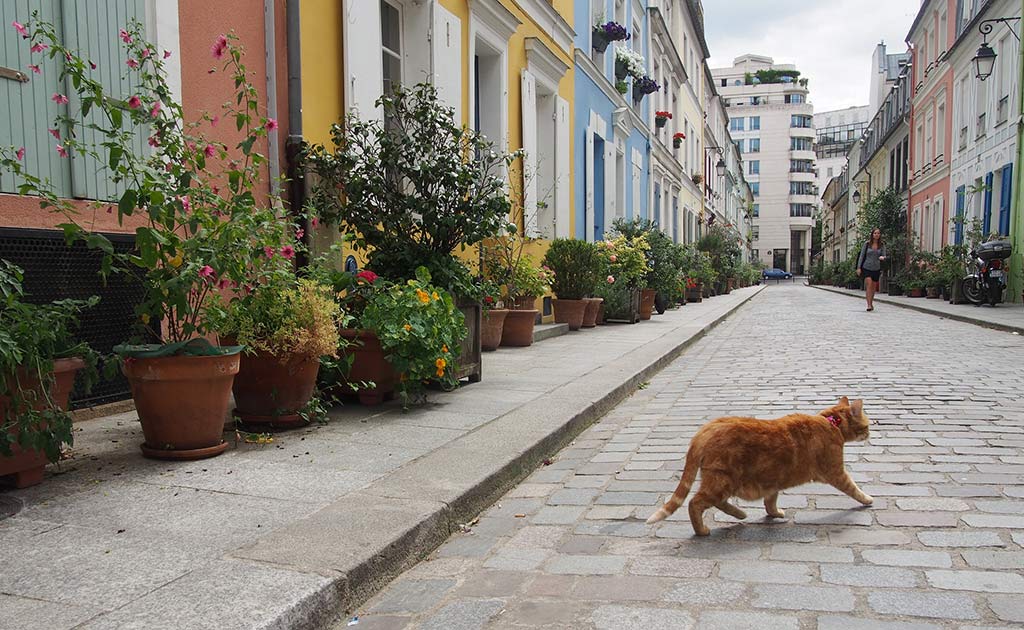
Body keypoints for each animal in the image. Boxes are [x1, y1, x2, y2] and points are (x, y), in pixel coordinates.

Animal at [647, 397, 872, 536]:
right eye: (868, 425)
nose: (870, 433)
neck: (831, 422)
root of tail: (704, 430)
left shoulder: (773, 480)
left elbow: (770, 501)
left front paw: (774, 514)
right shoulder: (836, 472)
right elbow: (854, 488)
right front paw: (867, 499)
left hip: (723, 482)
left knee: (717, 502)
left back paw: (740, 514)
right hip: (722, 481)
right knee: (695, 503)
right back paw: (702, 530)